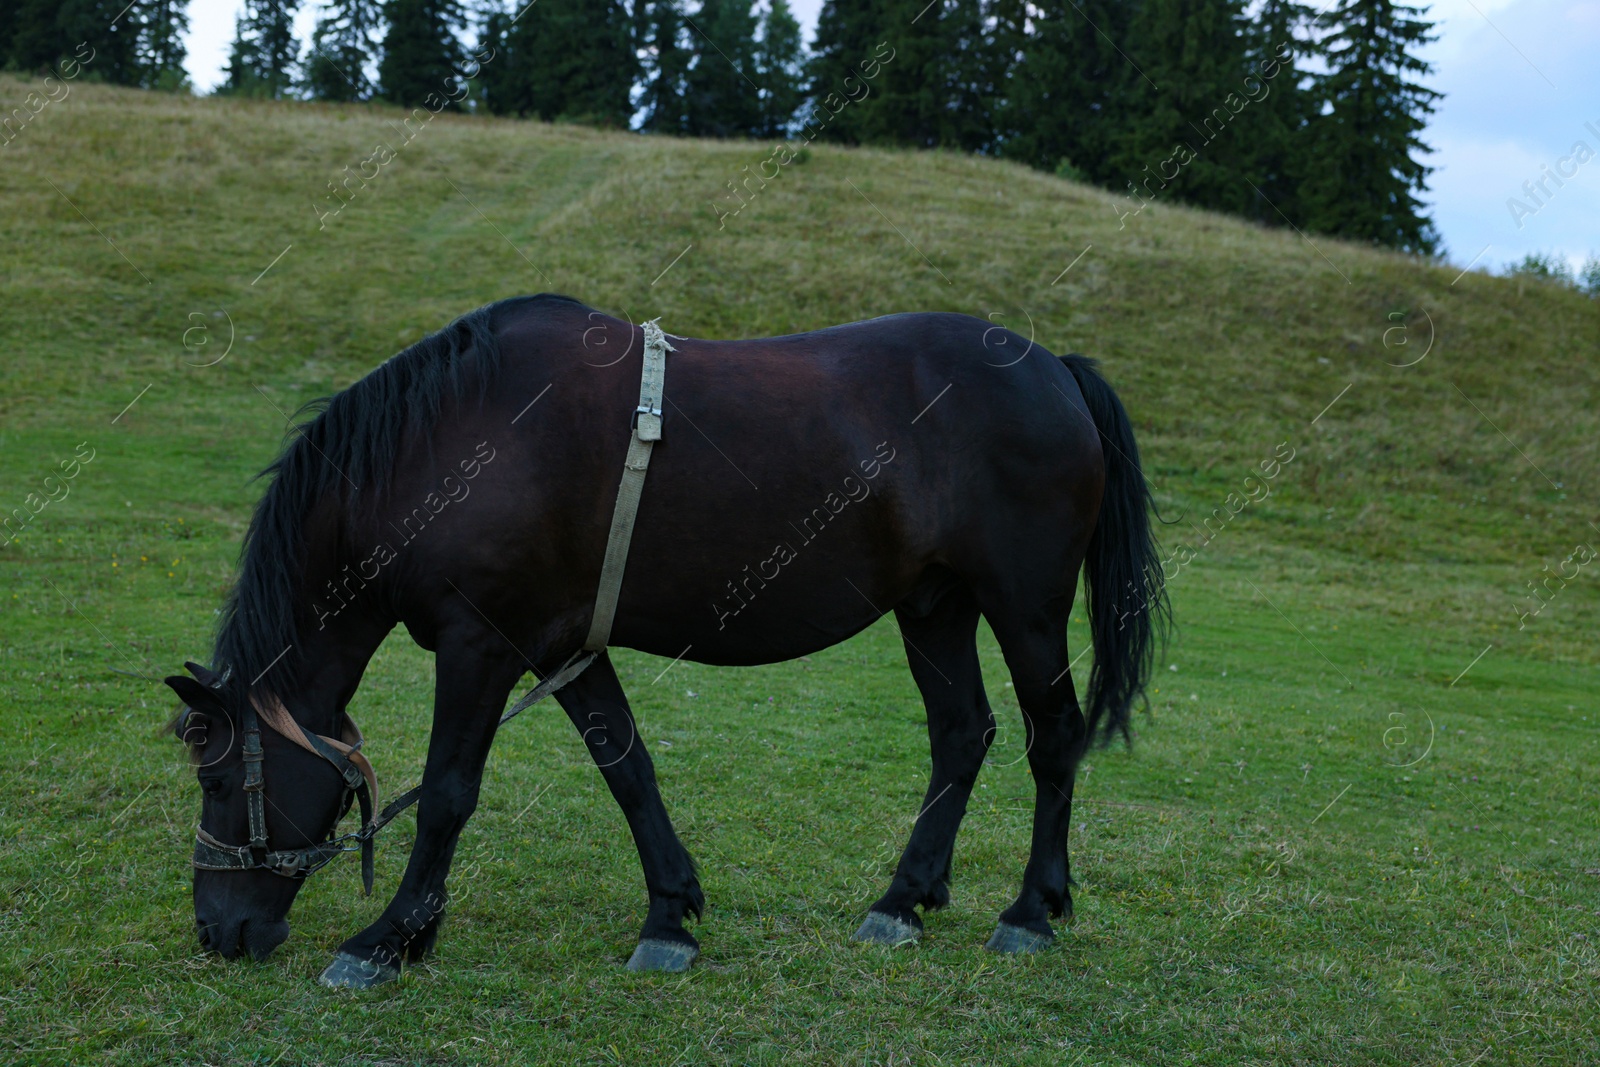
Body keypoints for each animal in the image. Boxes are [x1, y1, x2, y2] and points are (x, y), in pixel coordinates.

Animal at [165, 294, 1164, 991]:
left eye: (215, 780)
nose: (216, 932)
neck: (451, 444)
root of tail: (1054, 367)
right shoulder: (564, 645)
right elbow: (627, 766)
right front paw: (670, 915)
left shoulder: (481, 643)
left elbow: (448, 794)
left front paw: (389, 938)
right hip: (936, 606)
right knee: (961, 735)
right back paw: (902, 899)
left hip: (1025, 606)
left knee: (1053, 737)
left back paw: (1031, 909)